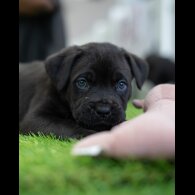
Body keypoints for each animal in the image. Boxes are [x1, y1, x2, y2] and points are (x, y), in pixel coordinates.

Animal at [19, 42, 148, 139]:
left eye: (121, 85)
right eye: (82, 82)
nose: (103, 110)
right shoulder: (36, 118)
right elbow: (66, 125)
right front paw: (93, 136)